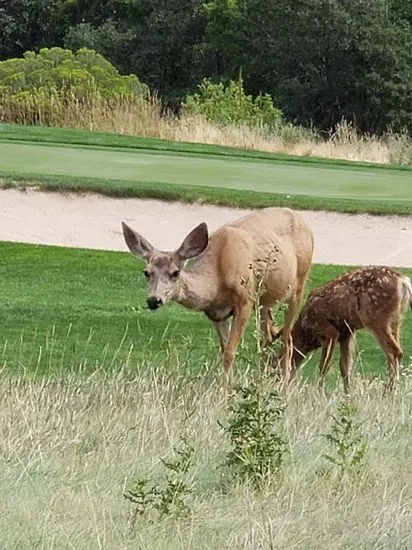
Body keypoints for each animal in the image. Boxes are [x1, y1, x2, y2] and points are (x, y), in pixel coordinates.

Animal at [120, 207, 314, 384]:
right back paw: (262, 379)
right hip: (266, 300)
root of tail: (304, 222)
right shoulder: (216, 313)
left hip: (299, 284)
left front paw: (225, 394)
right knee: (267, 337)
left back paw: (284, 386)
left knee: (287, 338)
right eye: (146, 272)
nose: (154, 300)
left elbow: (229, 352)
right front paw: (227, 388)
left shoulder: (246, 300)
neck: (217, 279)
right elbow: (224, 351)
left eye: (175, 273)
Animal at [284, 266, 412, 392]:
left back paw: (387, 393)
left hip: (375, 318)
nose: (282, 384)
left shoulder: (329, 331)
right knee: (394, 352)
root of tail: (403, 281)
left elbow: (324, 366)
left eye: (278, 362)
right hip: (395, 321)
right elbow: (345, 367)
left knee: (395, 352)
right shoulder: (346, 333)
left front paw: (319, 393)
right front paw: (347, 393)